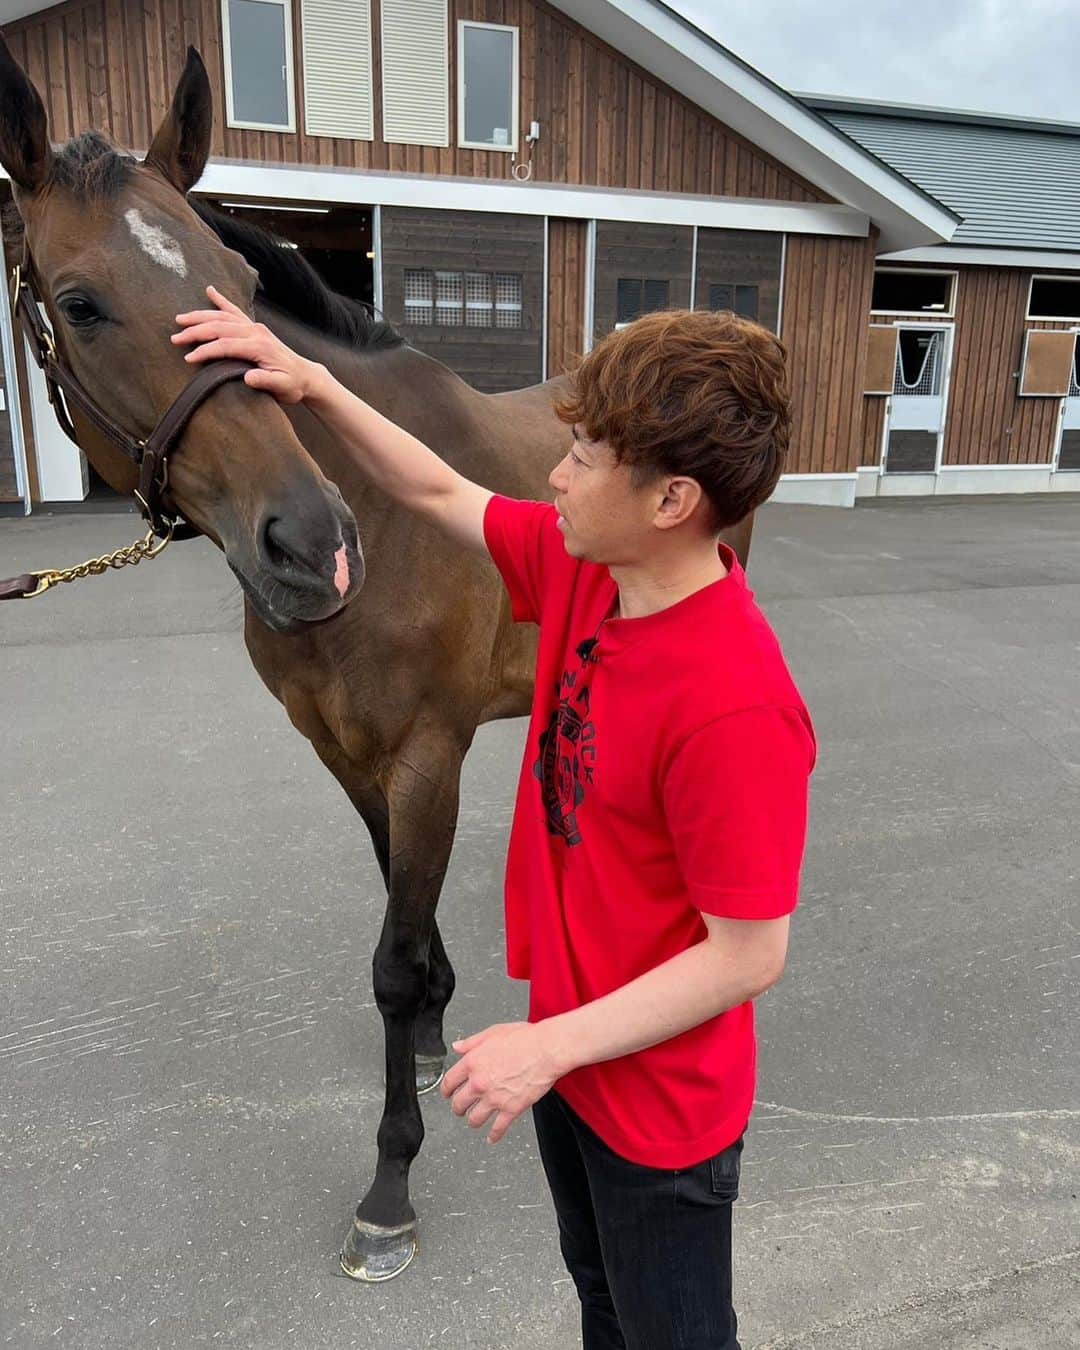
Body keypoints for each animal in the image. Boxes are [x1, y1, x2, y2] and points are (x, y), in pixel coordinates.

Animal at [0, 42, 750, 1279]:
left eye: (240, 284)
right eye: (80, 303)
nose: (311, 545)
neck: (385, 509)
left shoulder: (426, 752)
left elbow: (390, 959)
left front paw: (390, 1185)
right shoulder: (346, 754)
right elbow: (399, 907)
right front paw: (440, 1022)